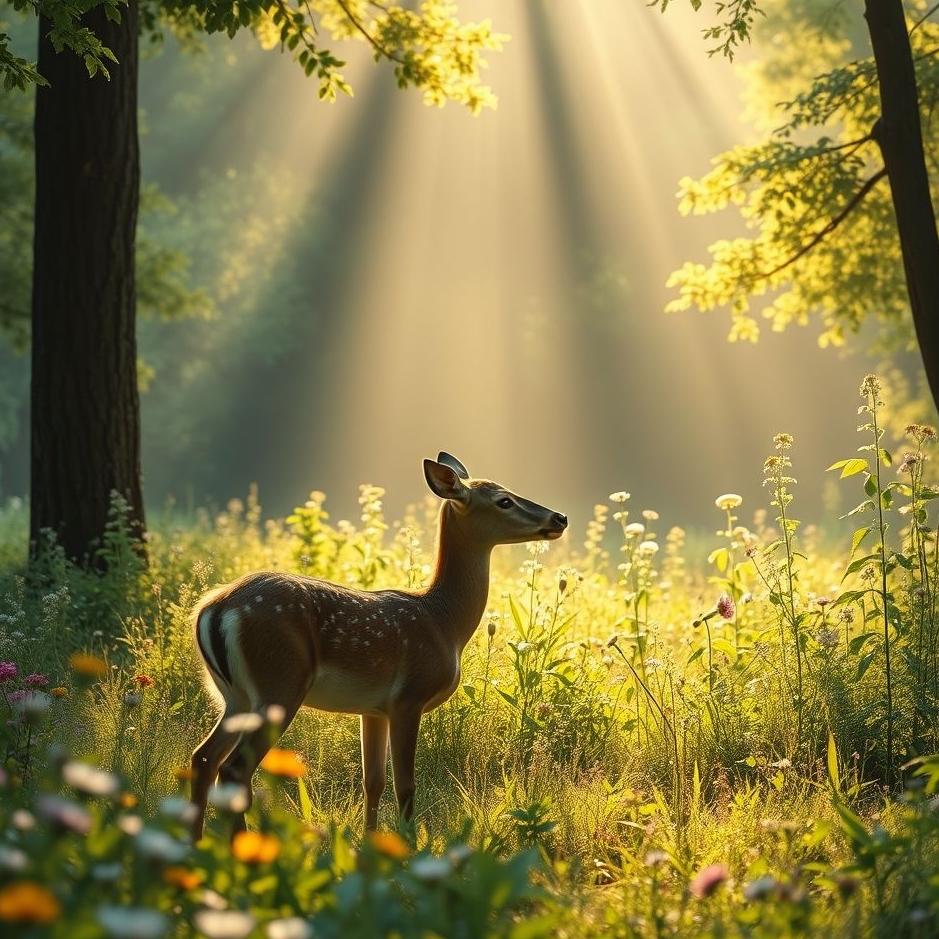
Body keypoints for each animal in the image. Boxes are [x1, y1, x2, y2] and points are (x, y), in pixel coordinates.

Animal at [189, 452, 568, 840]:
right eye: (504, 500)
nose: (560, 518)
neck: (444, 621)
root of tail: (214, 609)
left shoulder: (373, 709)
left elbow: (373, 781)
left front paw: (370, 842)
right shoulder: (408, 697)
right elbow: (405, 786)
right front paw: (409, 844)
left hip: (234, 696)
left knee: (203, 758)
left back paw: (194, 842)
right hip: (279, 683)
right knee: (233, 770)